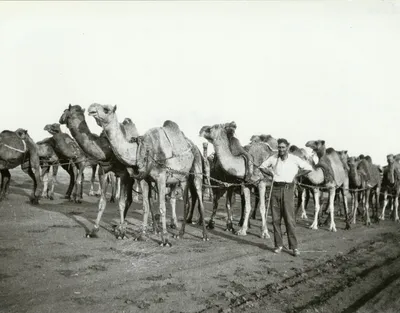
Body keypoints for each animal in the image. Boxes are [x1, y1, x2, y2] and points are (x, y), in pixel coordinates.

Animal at [58, 103, 135, 238]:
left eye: (64, 110)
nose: (59, 119)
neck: (107, 149)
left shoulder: (124, 174)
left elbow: (121, 203)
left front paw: (122, 232)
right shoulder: (102, 172)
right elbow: (102, 202)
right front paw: (94, 230)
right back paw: (120, 224)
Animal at [88, 103, 209, 245]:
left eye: (106, 109)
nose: (91, 109)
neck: (145, 149)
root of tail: (193, 145)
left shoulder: (161, 178)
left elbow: (162, 207)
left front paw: (165, 239)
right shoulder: (144, 179)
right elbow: (145, 206)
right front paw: (142, 235)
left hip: (197, 166)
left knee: (200, 197)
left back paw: (204, 235)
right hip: (183, 178)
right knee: (185, 201)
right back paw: (180, 233)